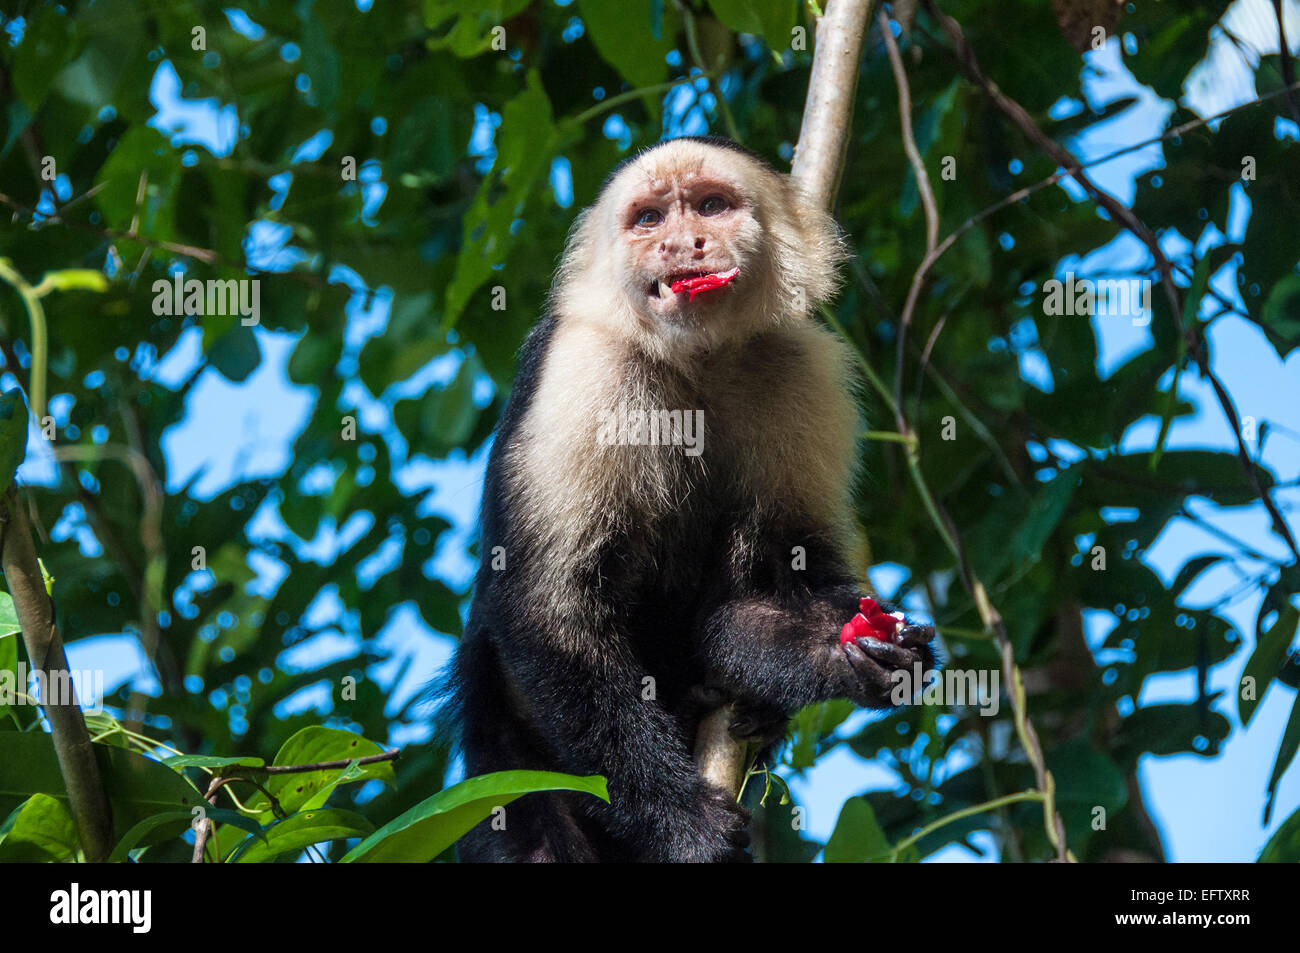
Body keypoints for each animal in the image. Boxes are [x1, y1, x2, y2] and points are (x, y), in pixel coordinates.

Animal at [449, 135, 935, 863]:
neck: (694, 359)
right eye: (649, 219)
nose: (683, 244)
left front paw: (841, 650)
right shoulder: (584, 369)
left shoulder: (802, 367)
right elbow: (548, 607)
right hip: (502, 754)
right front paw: (681, 821)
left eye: (711, 205)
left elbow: (780, 575)